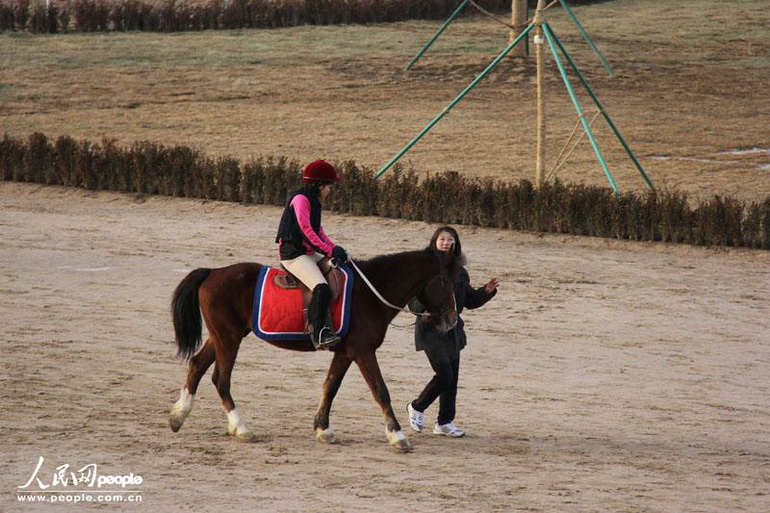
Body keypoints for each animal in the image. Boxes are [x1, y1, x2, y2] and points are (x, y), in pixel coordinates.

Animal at [168, 249, 456, 452]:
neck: (372, 292)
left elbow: (330, 386)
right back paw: (241, 428)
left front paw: (323, 429)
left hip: (221, 337)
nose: (452, 319)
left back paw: (179, 416)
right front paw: (398, 436)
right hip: (228, 339)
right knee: (221, 379)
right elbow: (380, 391)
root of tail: (213, 272)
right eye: (447, 282)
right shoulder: (363, 352)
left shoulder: (345, 352)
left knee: (197, 365)